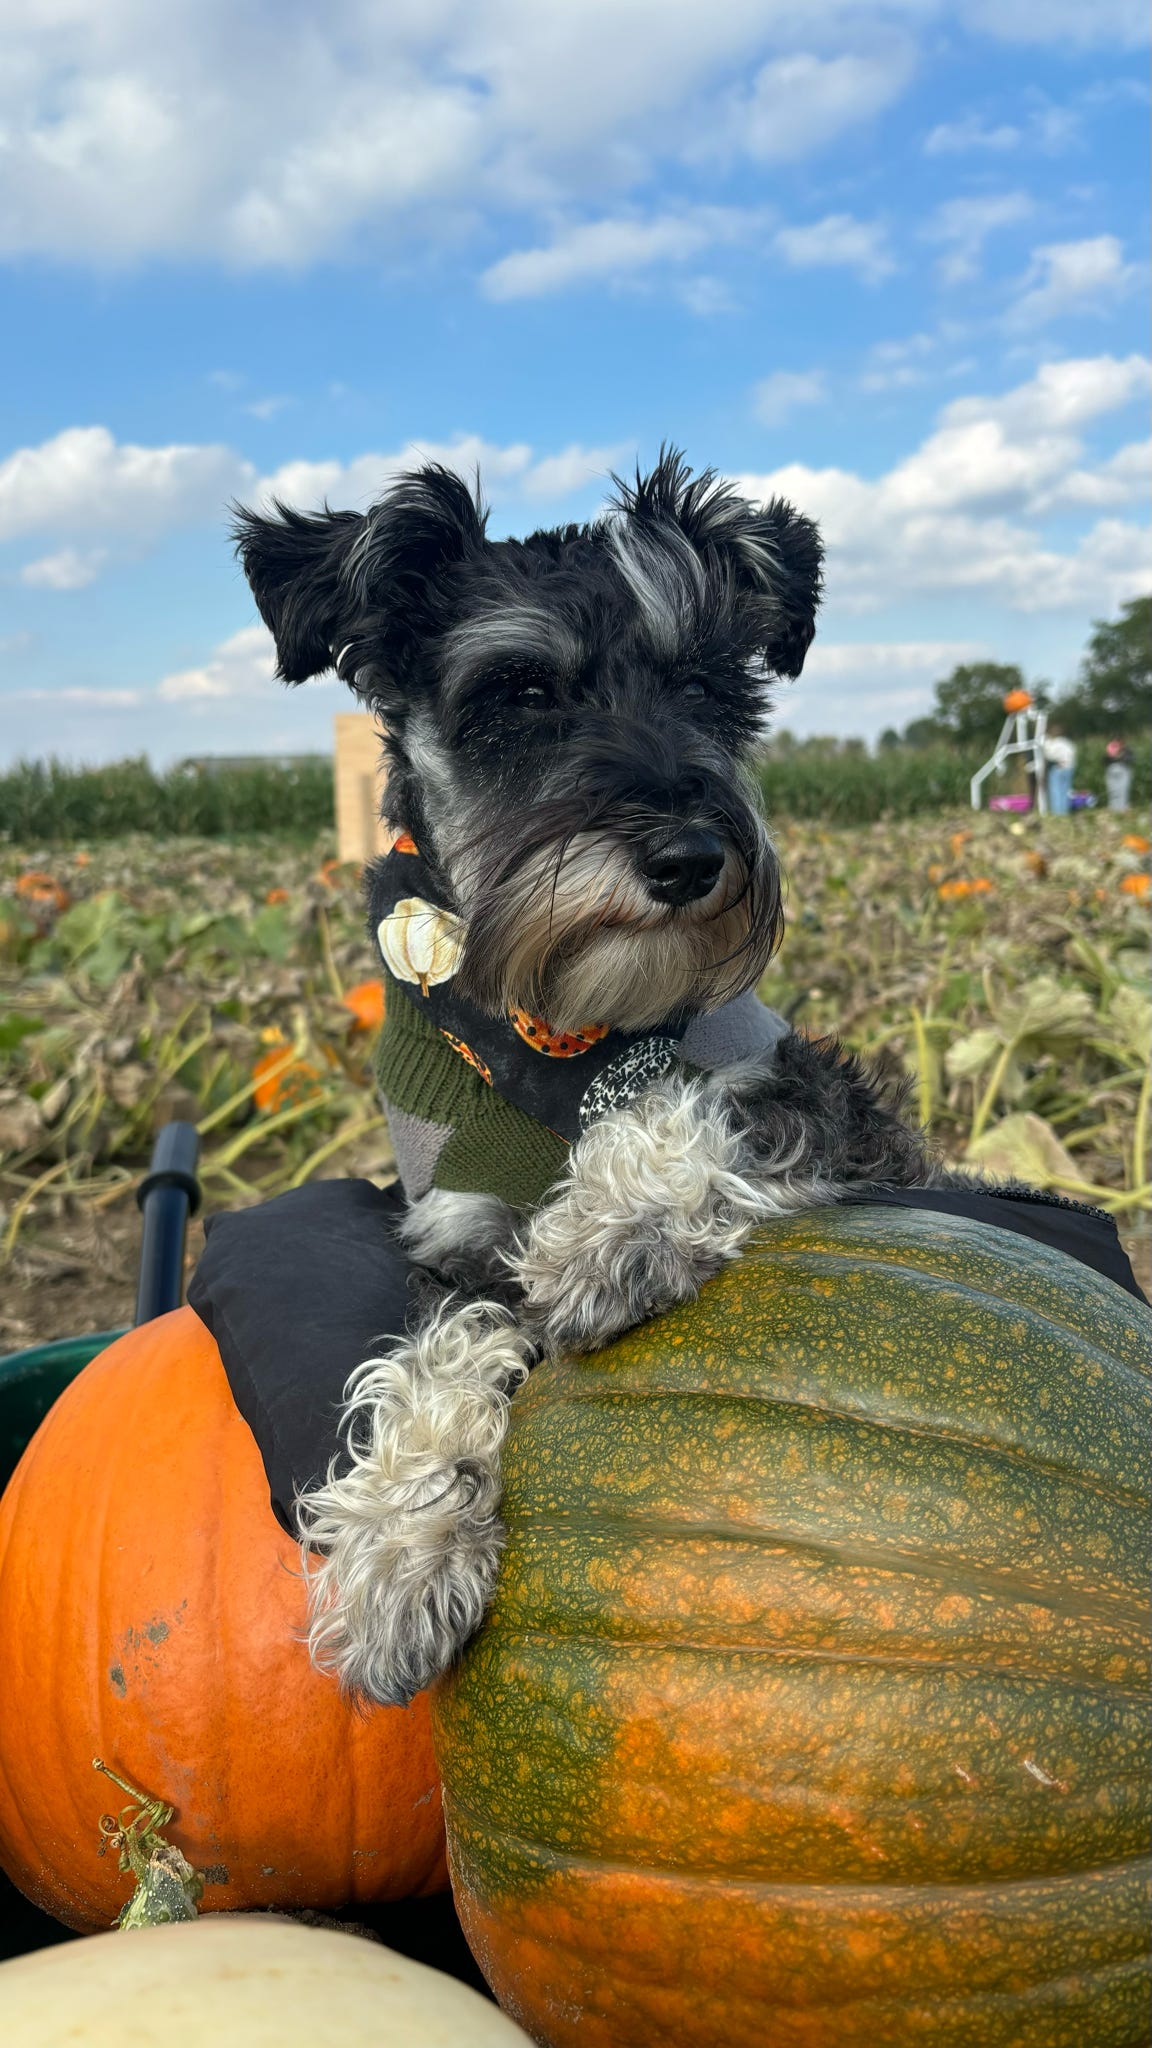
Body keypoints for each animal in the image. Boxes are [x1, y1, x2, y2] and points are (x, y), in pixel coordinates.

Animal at [235, 448, 942, 1712]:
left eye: (708, 684)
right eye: (518, 692)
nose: (690, 858)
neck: (559, 1027)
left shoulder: (828, 1097)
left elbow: (686, 1096)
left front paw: (614, 1229)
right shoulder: (451, 1234)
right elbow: (437, 1349)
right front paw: (402, 1544)